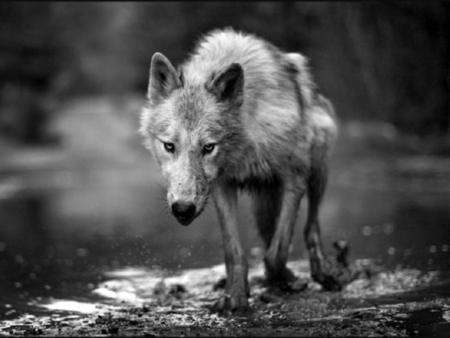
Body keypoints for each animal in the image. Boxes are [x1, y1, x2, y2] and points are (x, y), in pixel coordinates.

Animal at [141, 29, 342, 314]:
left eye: (208, 147)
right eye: (169, 146)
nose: (183, 209)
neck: (245, 145)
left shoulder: (295, 176)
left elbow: (277, 252)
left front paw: (283, 279)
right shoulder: (222, 187)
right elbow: (235, 251)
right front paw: (235, 296)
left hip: (318, 166)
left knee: (310, 226)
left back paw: (321, 273)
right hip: (263, 204)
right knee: (271, 233)